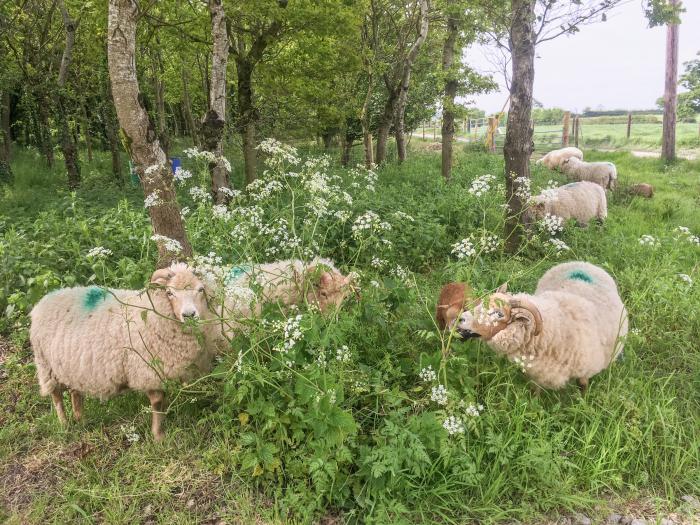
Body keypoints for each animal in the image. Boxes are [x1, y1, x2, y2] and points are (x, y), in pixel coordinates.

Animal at [29, 264, 221, 440]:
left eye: (201, 289)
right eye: (169, 293)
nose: (189, 315)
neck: (152, 312)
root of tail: (45, 300)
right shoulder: (147, 370)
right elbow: (157, 403)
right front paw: (158, 436)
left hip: (73, 366)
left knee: (75, 392)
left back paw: (81, 420)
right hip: (46, 366)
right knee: (56, 396)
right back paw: (65, 425)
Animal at [456, 260, 628, 388]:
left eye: (499, 314)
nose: (460, 319)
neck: (558, 328)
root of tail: (584, 262)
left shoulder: (586, 369)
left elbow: (583, 385)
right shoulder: (537, 374)